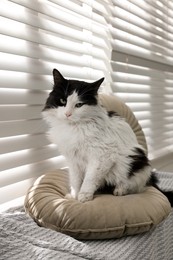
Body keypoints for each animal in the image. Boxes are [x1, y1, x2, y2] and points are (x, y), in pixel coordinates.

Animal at [42, 69, 173, 205]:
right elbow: (75, 180)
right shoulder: (73, 159)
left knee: (133, 185)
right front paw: (74, 197)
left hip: (136, 160)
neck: (73, 128)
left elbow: (89, 179)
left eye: (79, 105)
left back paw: (119, 190)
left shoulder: (102, 156)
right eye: (63, 101)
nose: (67, 114)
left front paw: (84, 196)